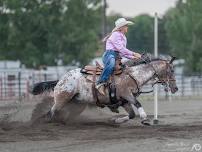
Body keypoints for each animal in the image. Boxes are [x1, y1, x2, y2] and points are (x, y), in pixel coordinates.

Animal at [30, 56, 178, 125]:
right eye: (171, 70)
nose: (175, 88)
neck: (134, 75)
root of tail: (61, 79)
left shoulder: (124, 101)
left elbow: (131, 115)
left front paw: (116, 120)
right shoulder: (127, 94)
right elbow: (138, 104)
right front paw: (145, 119)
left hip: (76, 103)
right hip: (62, 99)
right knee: (51, 112)